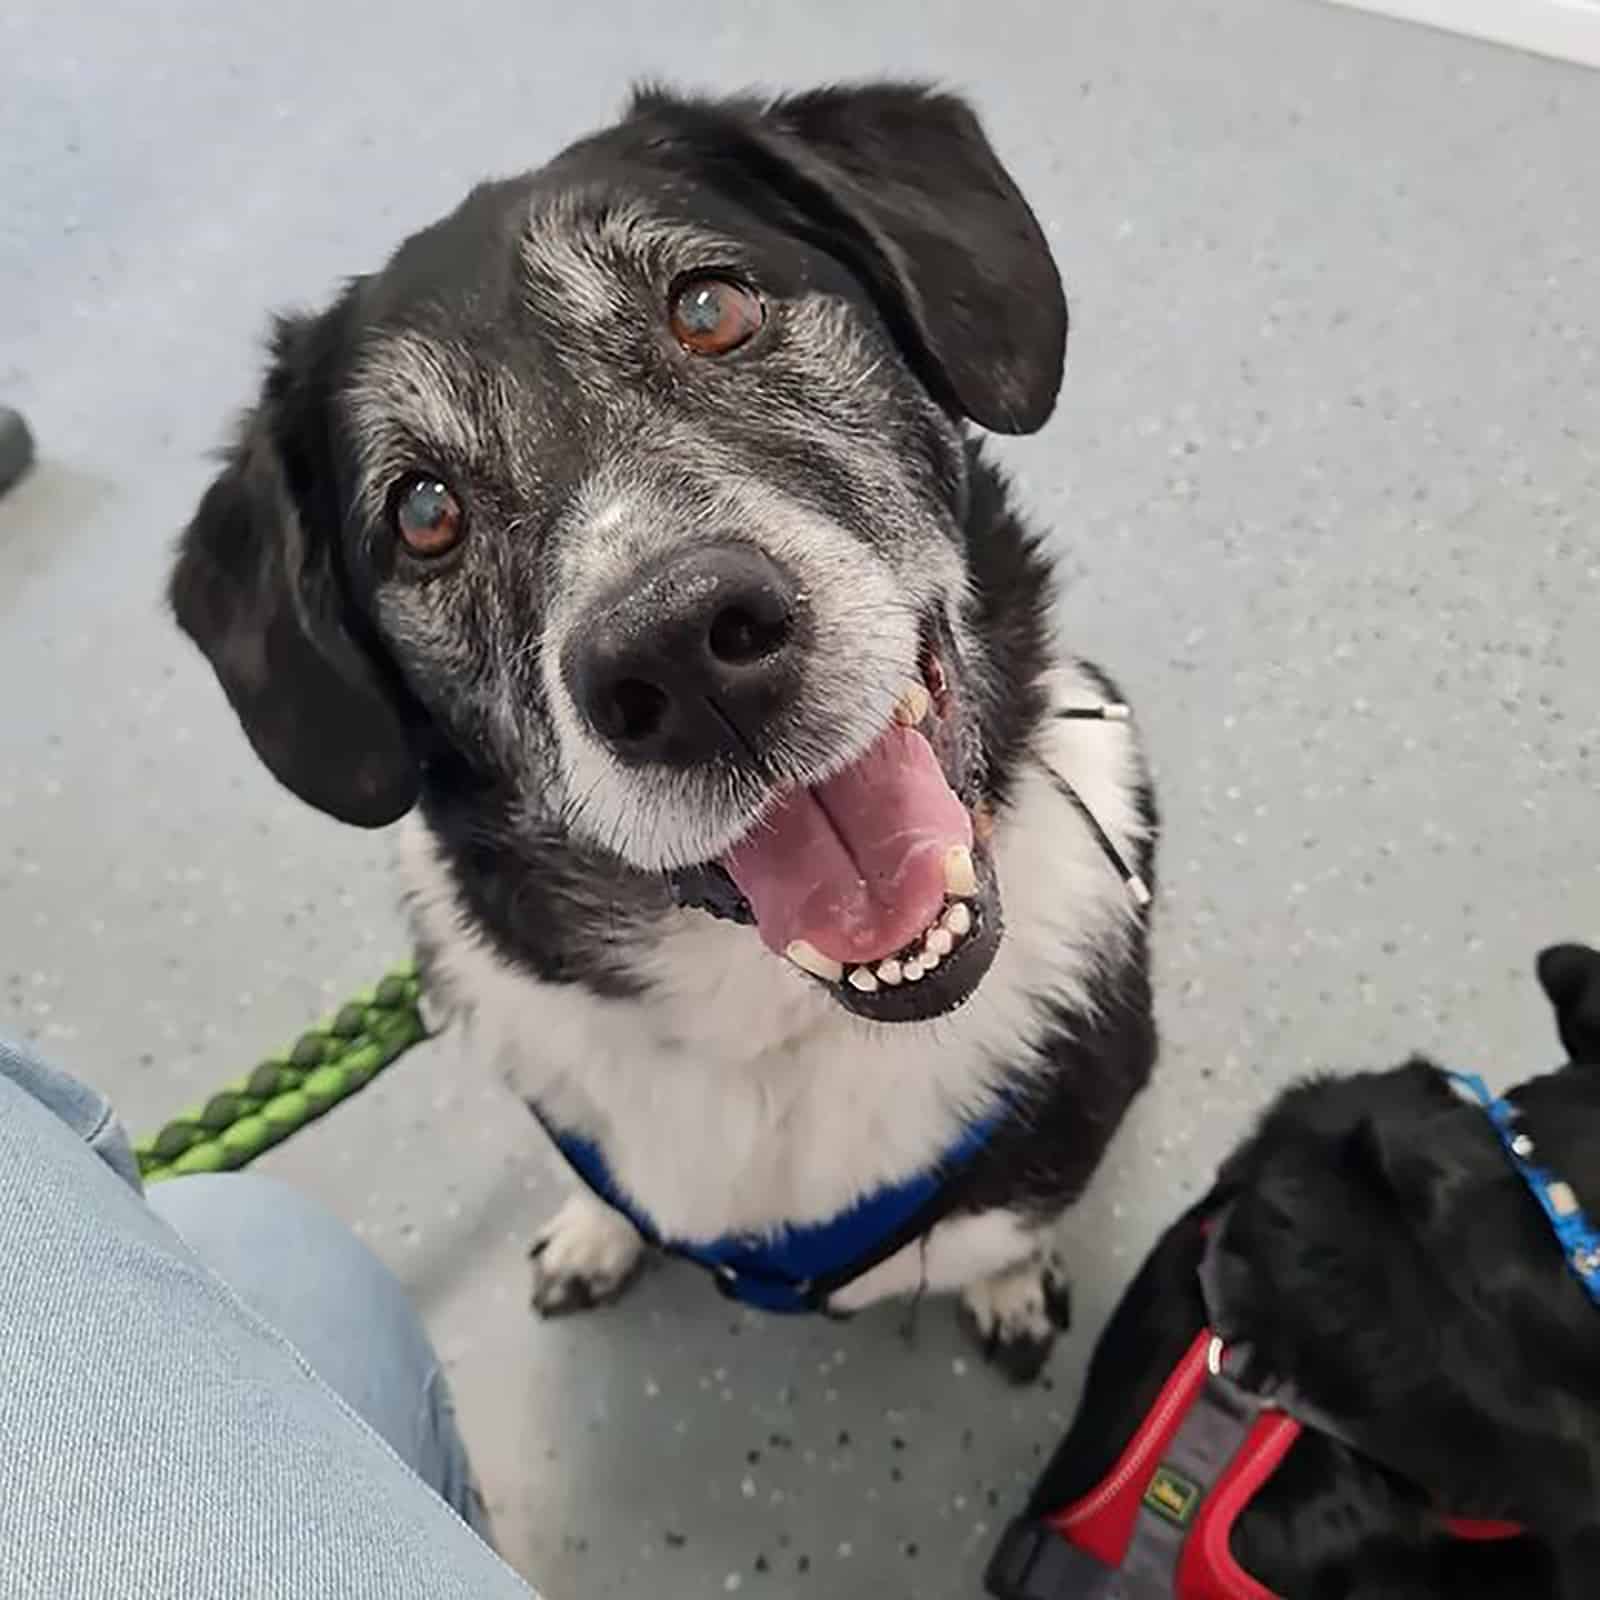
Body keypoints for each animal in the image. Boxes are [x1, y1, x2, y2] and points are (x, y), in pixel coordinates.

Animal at [168, 81, 1158, 1376]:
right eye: (423, 511)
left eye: (710, 308)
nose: (681, 652)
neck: (778, 1027)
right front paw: (595, 1232)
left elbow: (1006, 1226)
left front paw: (1004, 1283)